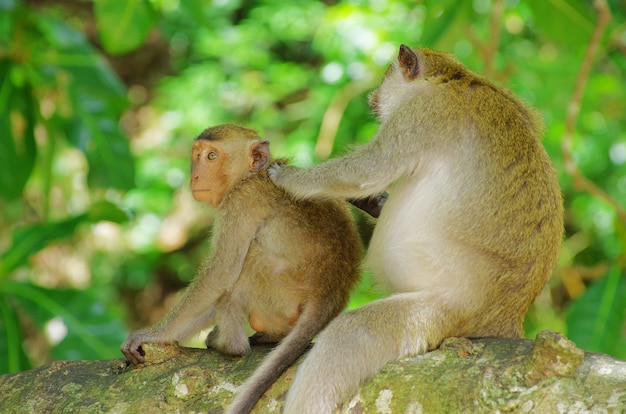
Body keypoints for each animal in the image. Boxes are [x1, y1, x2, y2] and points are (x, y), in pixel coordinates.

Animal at [120, 125, 360, 414]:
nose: (195, 175)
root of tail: (331, 293)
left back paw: (231, 345)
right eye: (197, 155)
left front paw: (152, 335)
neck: (249, 176)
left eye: (212, 156)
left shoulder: (240, 202)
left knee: (247, 262)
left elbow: (220, 273)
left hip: (279, 292)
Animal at [268, 45, 560, 410]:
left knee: (351, 334)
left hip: (444, 311)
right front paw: (373, 204)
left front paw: (286, 178)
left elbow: (368, 169)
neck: (450, 79)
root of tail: (509, 317)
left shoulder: (422, 113)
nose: (372, 100)